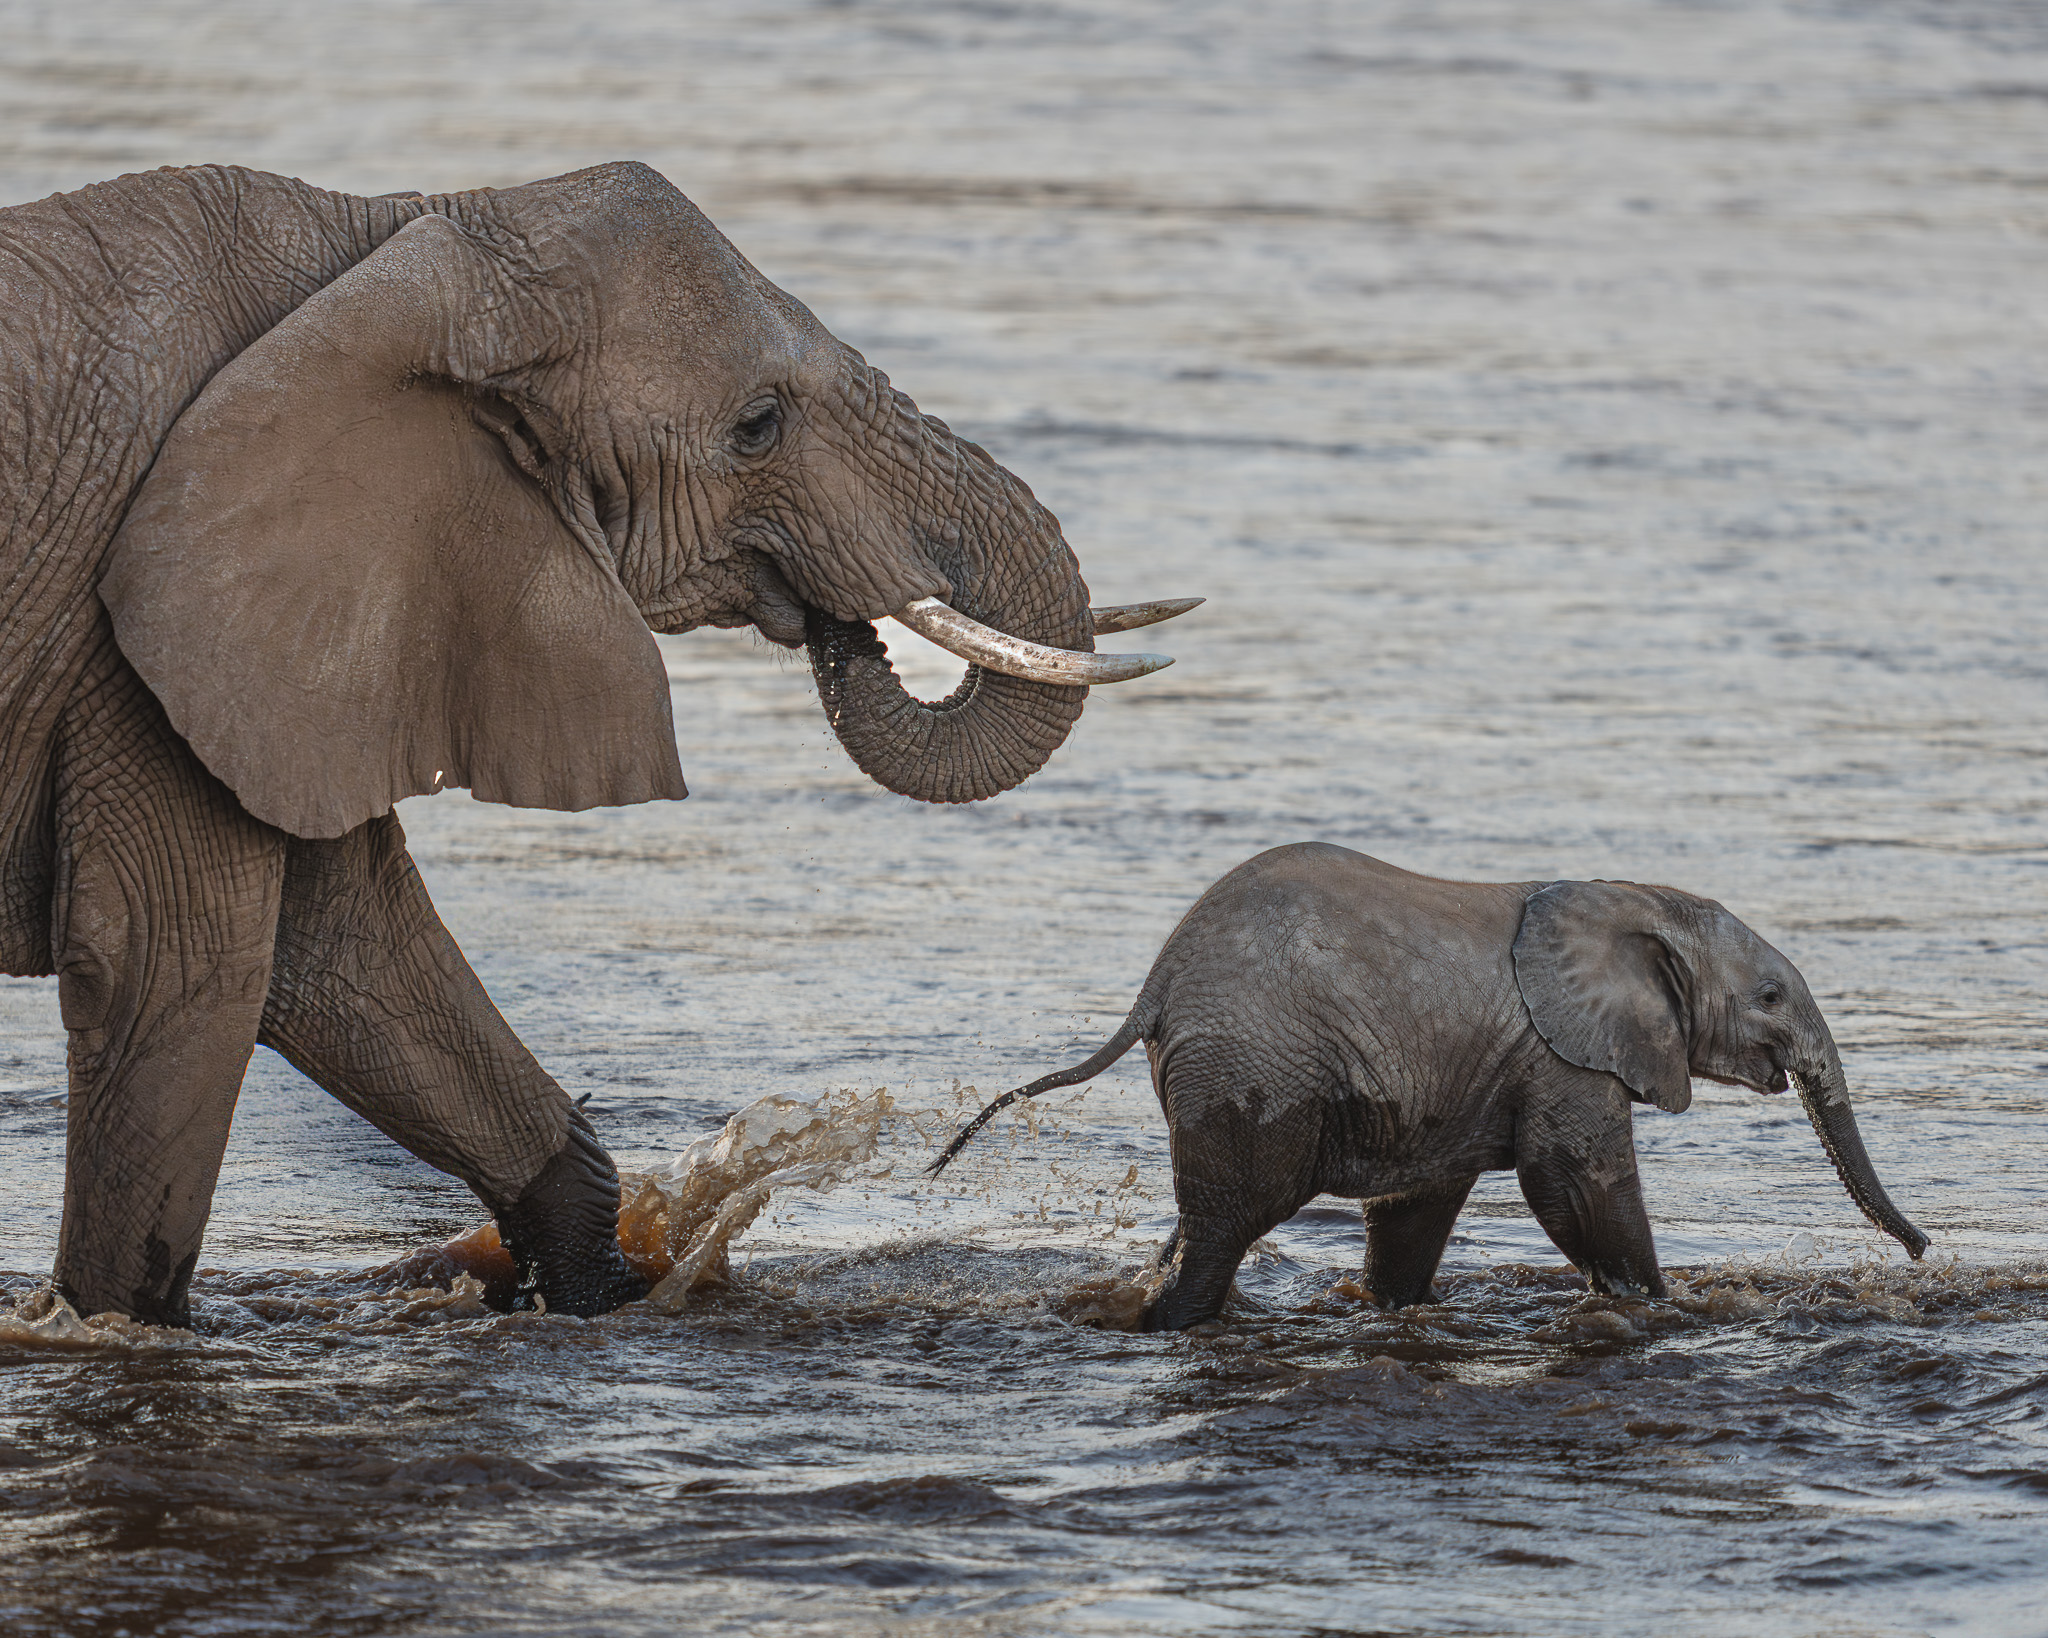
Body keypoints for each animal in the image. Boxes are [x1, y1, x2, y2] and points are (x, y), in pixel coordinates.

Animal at [0, 160, 1191, 1326]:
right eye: (757, 424)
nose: (842, 624)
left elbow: (343, 960)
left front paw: (597, 1293)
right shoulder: (141, 635)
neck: (403, 233)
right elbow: (179, 965)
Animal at [932, 843, 1927, 1330]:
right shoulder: (1561, 1055)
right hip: (1254, 1064)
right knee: (1227, 1224)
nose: (1920, 1251)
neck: (1636, 899)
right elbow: (1574, 1183)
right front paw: (1668, 1312)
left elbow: (1418, 1205)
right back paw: (1169, 1321)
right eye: (1770, 997)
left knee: (1203, 1219)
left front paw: (1392, 1312)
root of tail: (1156, 982)